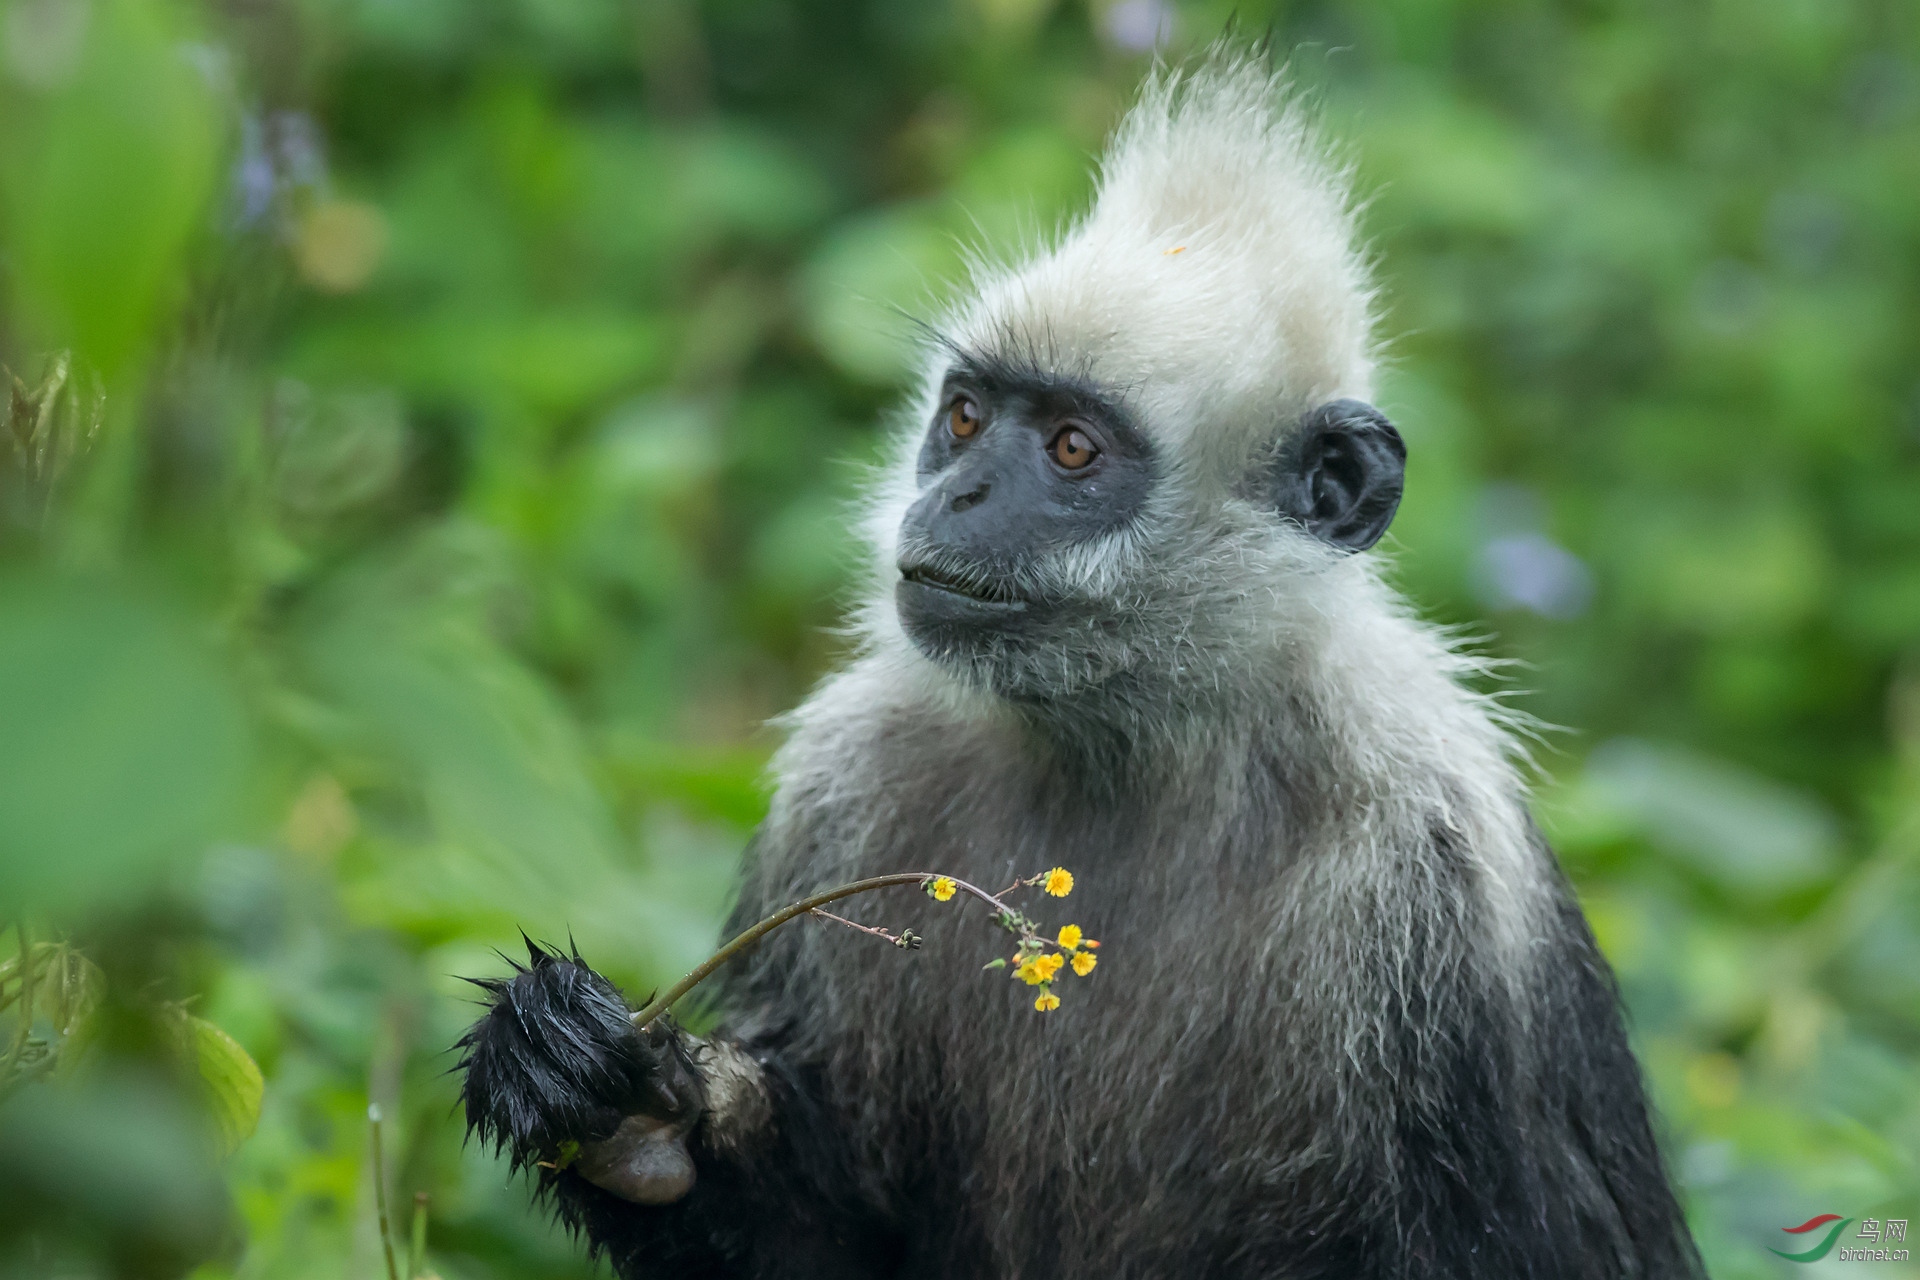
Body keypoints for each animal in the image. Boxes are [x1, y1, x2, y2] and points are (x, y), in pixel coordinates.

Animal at [456, 50, 1704, 1280]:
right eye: (965, 419)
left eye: (1070, 448)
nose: (956, 494)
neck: (1135, 745)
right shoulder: (846, 780)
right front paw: (627, 1111)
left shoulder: (1442, 877)